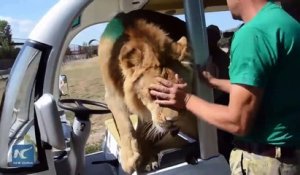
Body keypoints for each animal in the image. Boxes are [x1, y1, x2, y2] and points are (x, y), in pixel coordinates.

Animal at [98, 9, 197, 174]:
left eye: (181, 90)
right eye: (154, 92)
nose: (173, 120)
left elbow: (143, 129)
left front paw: (146, 157)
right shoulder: (112, 95)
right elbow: (124, 123)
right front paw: (130, 158)